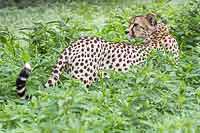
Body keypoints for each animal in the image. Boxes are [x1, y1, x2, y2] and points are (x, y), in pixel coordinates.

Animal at [16, 13, 180, 99]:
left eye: (136, 25)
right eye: (131, 24)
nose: (126, 31)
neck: (158, 33)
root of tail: (73, 44)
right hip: (84, 78)